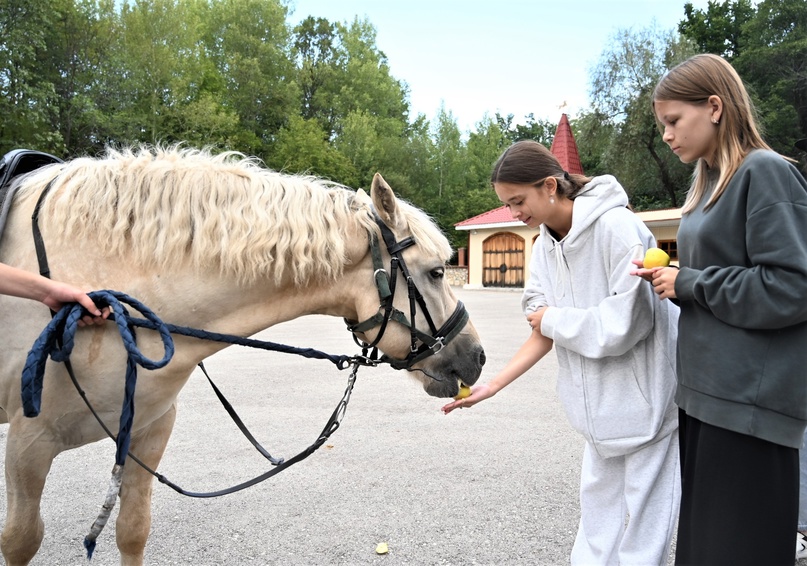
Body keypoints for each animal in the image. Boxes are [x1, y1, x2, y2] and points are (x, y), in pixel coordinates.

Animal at [0, 148, 482, 566]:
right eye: (437, 271)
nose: (476, 357)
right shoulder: (29, 442)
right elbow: (22, 539)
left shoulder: (148, 430)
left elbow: (132, 530)